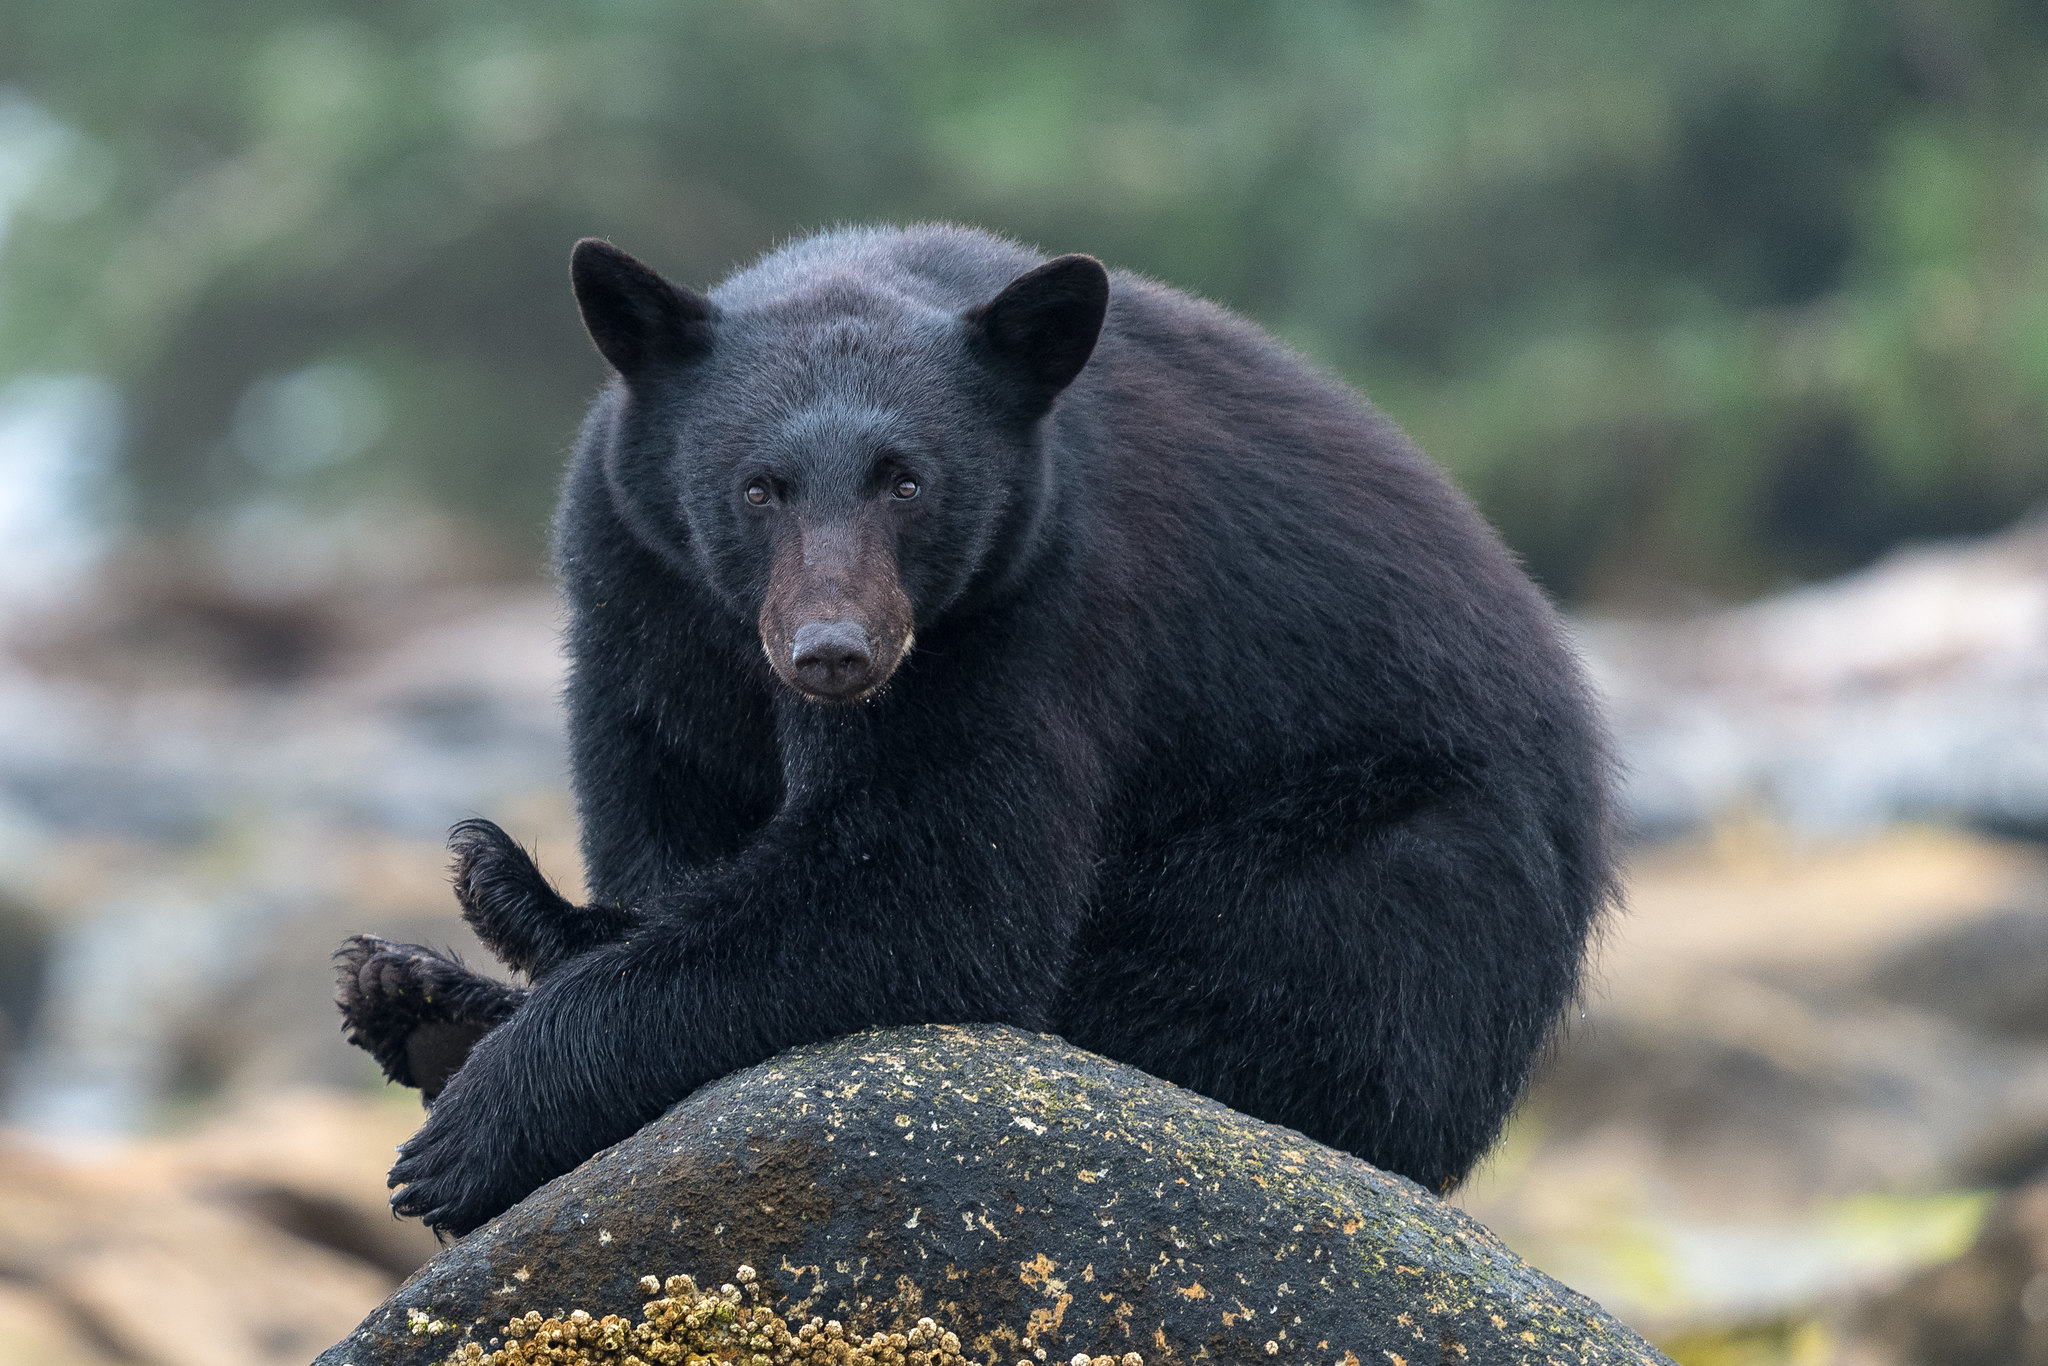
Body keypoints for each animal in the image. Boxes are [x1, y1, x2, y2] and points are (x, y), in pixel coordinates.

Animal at [339, 227, 1613, 1236]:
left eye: (906, 479)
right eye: (757, 486)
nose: (835, 651)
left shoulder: (1030, 606)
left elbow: (931, 889)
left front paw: (476, 1127)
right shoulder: (640, 582)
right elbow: (668, 799)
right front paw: (503, 918)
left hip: (1391, 871)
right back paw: (434, 978)